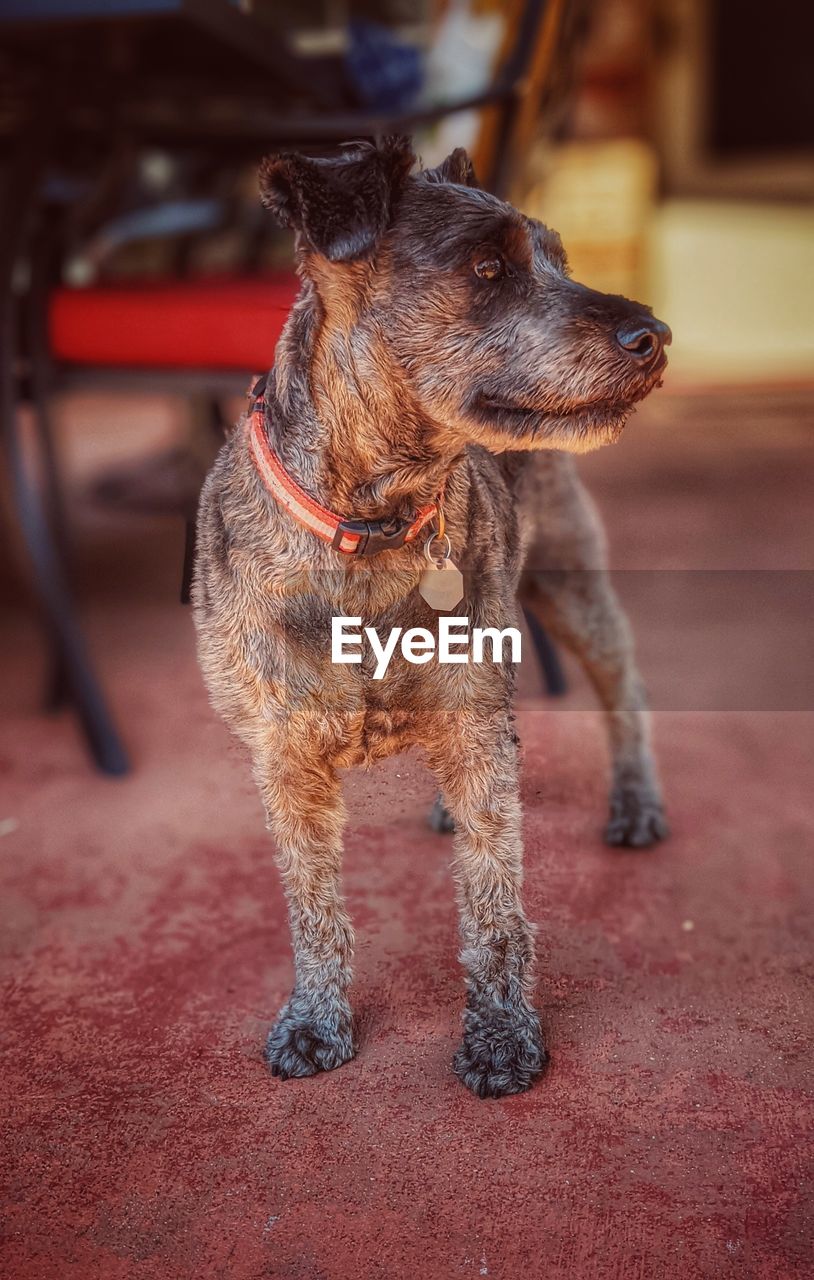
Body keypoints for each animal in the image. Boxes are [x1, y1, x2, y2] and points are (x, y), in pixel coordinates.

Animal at [194, 137, 670, 1100]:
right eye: (487, 269)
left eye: (559, 259)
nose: (654, 336)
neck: (371, 523)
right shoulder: (285, 758)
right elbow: (313, 907)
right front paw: (317, 1019)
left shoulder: (481, 730)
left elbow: (494, 900)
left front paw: (501, 1035)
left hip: (572, 585)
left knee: (623, 689)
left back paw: (635, 800)